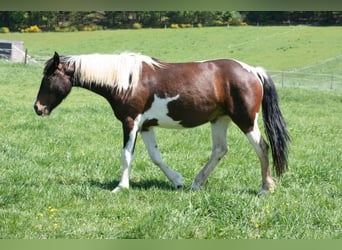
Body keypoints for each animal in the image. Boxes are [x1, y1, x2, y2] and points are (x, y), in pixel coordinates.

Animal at [33, 51, 290, 195]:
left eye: (49, 77)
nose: (37, 108)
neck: (127, 80)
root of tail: (253, 71)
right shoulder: (146, 126)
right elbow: (156, 157)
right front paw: (177, 181)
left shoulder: (131, 122)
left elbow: (126, 156)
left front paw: (121, 187)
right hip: (219, 119)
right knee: (219, 150)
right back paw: (196, 184)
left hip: (246, 120)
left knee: (262, 148)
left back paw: (265, 187)